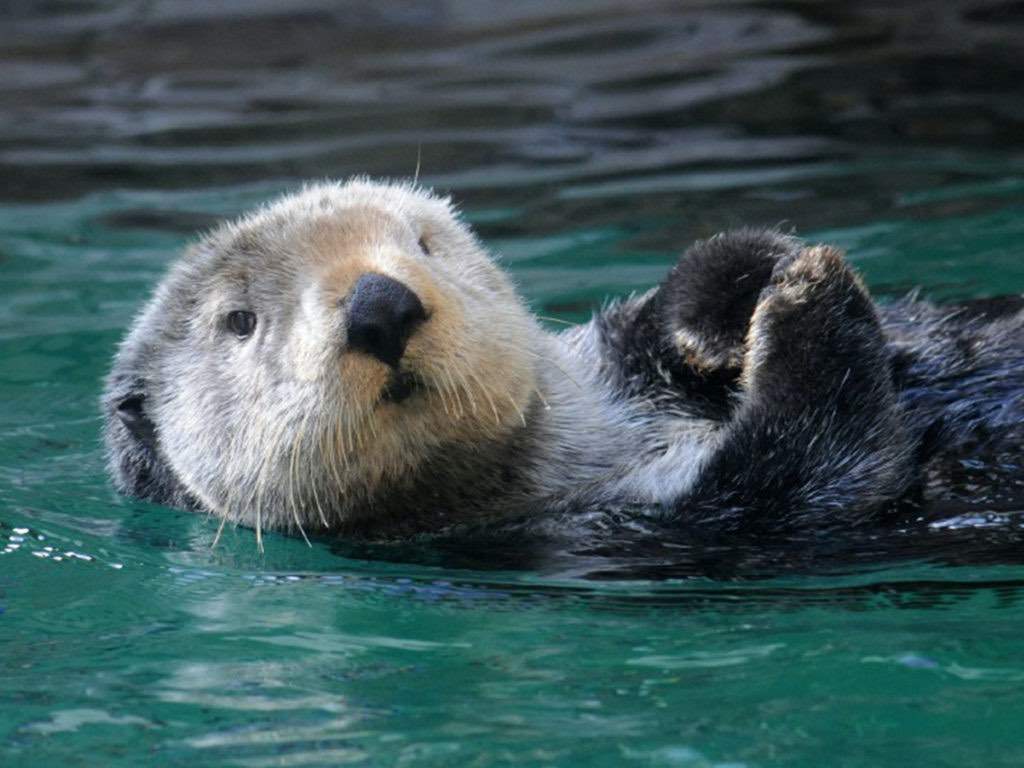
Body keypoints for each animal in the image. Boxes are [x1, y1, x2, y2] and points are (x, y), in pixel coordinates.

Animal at [101, 179, 1024, 548]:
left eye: (423, 244)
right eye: (239, 320)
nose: (380, 304)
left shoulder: (611, 358)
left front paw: (732, 300)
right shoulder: (635, 528)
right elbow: (822, 470)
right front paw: (806, 298)